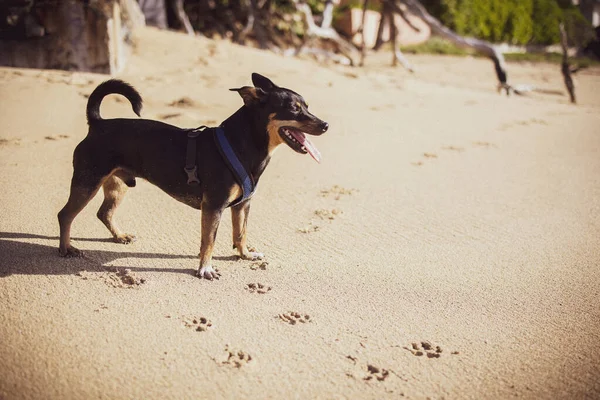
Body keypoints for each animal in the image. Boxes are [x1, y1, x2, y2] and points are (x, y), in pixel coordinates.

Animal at [57, 72, 328, 278]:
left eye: (307, 107)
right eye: (293, 110)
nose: (326, 125)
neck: (244, 143)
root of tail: (97, 123)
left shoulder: (242, 205)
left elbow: (241, 233)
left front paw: (245, 255)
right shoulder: (214, 207)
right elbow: (209, 241)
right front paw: (205, 269)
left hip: (117, 184)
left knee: (104, 212)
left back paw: (119, 236)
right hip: (87, 181)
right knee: (65, 215)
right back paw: (66, 248)